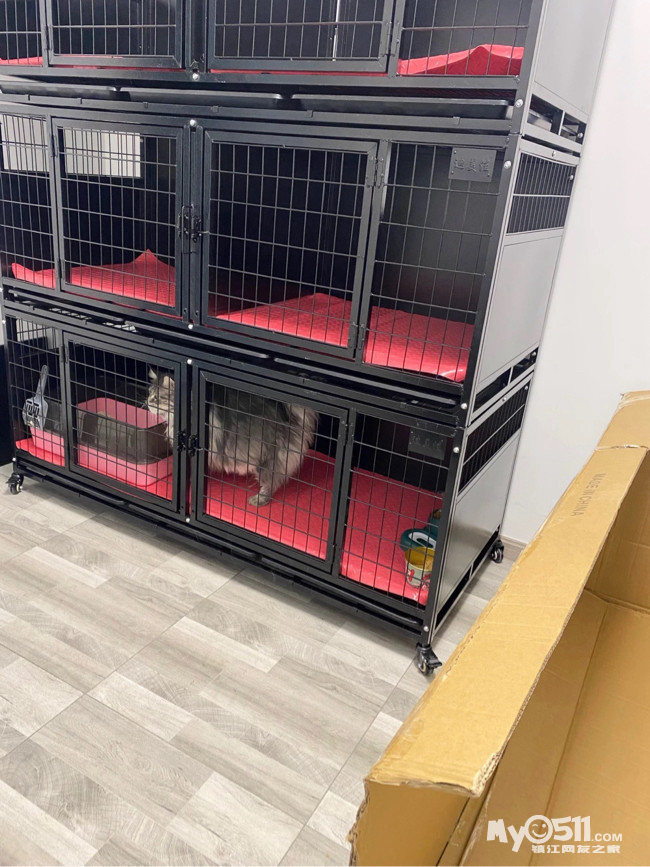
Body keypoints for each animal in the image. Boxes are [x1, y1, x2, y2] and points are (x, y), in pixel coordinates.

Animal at [146, 371, 318, 507]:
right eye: (149, 393)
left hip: (266, 457)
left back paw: (259, 500)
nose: (147, 402)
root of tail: (289, 416)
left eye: (157, 398)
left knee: (270, 481)